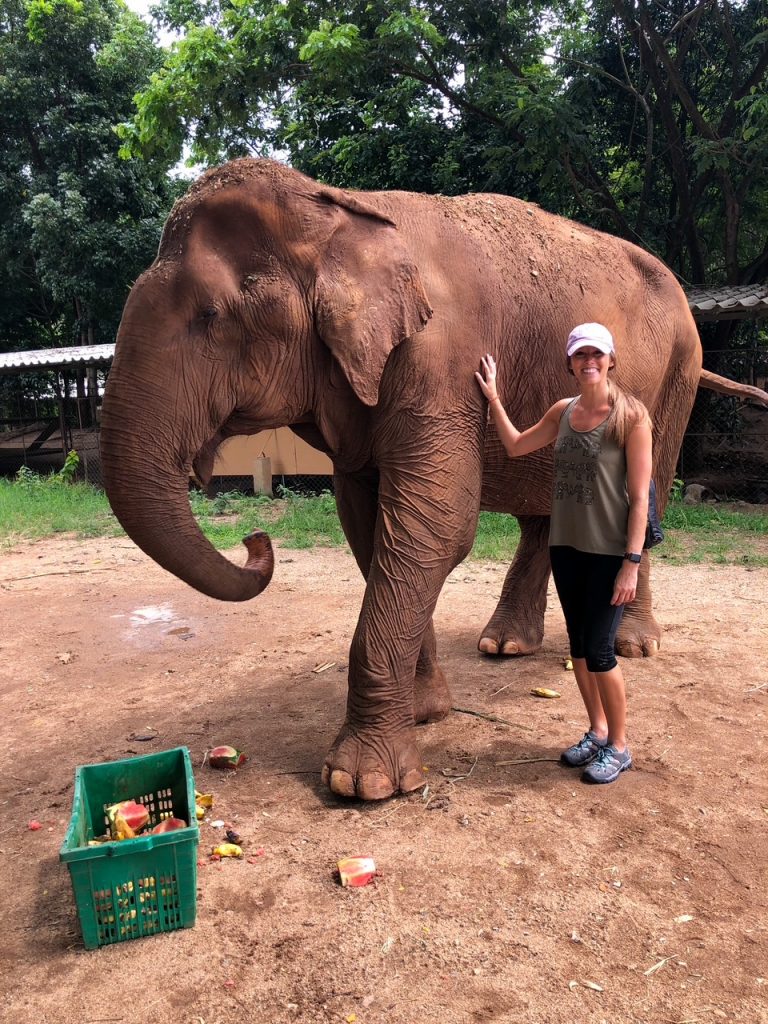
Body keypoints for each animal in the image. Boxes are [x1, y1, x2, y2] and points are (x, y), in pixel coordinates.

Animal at [100, 157, 768, 801]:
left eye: (210, 317)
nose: (255, 541)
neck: (340, 209)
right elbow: (373, 529)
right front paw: (425, 713)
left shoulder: (442, 360)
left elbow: (437, 527)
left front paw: (363, 783)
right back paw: (505, 645)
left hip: (679, 373)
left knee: (646, 492)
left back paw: (633, 645)